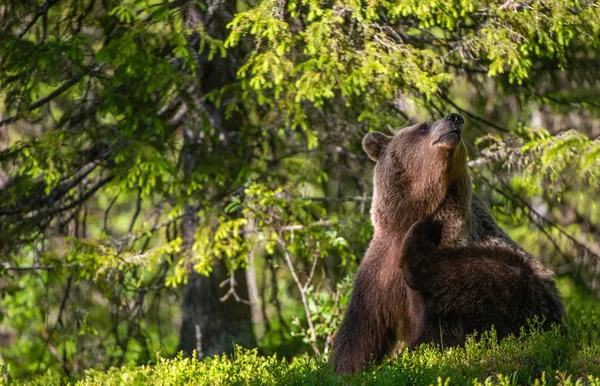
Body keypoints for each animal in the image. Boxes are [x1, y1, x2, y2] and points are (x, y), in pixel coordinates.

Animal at [332, 113, 564, 376]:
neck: (411, 215)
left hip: (535, 297)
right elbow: (361, 329)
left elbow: (442, 328)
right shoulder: (379, 269)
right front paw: (343, 368)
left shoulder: (451, 241)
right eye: (423, 127)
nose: (455, 118)